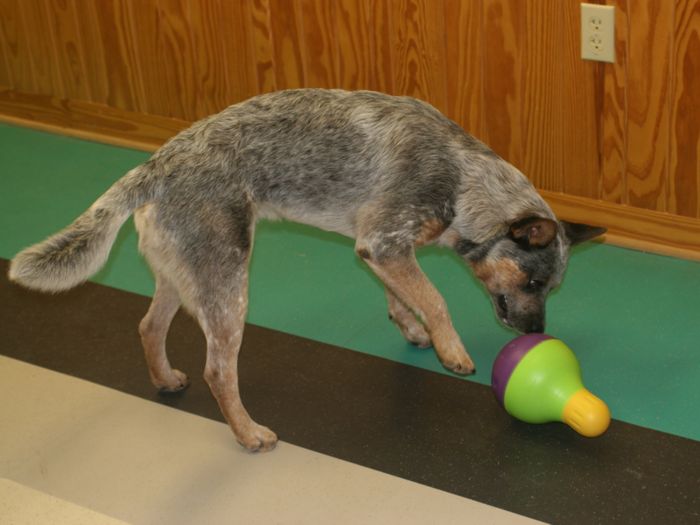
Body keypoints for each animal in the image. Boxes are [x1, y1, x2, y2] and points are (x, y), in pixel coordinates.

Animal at [6, 88, 608, 448]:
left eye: (553, 288)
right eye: (534, 282)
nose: (537, 333)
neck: (463, 182)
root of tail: (153, 164)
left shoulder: (382, 251)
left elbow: (402, 296)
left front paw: (414, 331)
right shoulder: (385, 243)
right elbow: (434, 298)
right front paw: (451, 350)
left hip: (185, 276)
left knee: (149, 325)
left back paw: (165, 380)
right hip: (229, 286)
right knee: (218, 370)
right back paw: (248, 433)